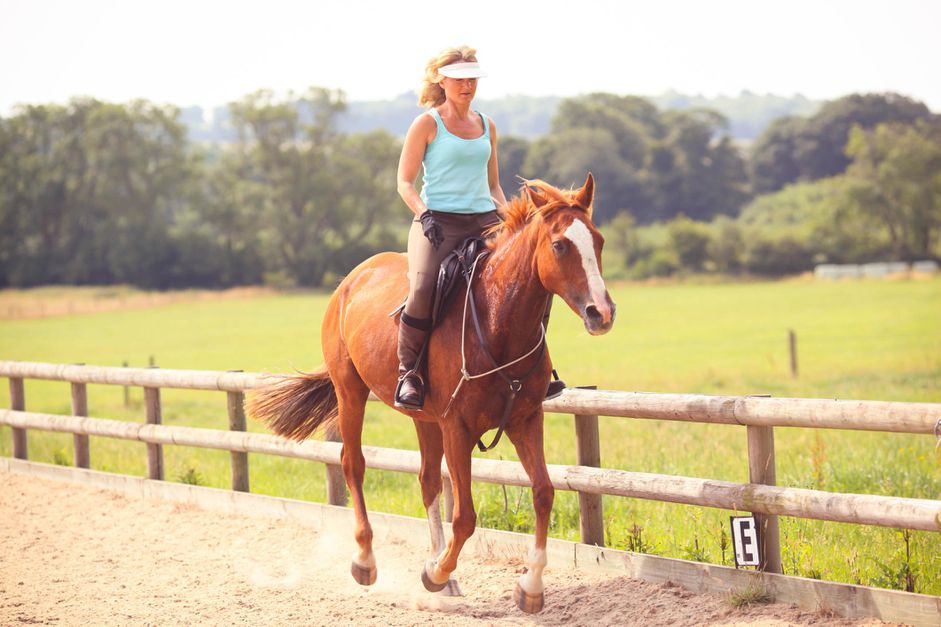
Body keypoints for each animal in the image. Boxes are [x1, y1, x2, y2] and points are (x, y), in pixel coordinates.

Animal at [248, 174, 616, 616]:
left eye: (598, 241)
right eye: (560, 245)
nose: (601, 313)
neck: (497, 320)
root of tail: (352, 280)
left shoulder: (525, 420)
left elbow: (543, 493)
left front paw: (529, 586)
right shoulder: (457, 427)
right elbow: (466, 516)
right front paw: (434, 574)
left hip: (424, 419)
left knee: (427, 481)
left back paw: (445, 574)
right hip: (350, 392)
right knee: (354, 464)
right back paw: (367, 561)